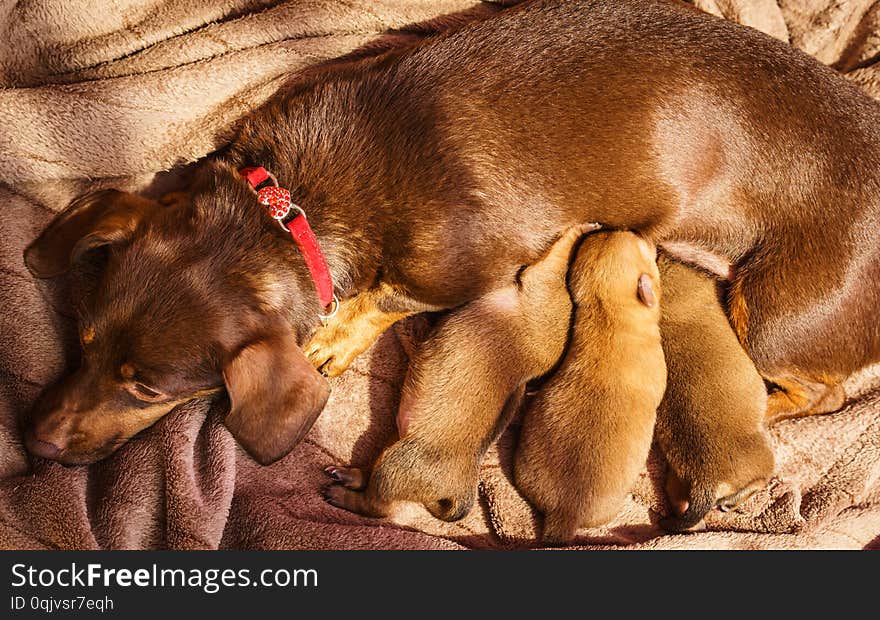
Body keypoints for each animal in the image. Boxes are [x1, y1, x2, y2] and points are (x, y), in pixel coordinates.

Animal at [20, 0, 880, 480]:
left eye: (148, 389)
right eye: (81, 339)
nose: (36, 445)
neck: (290, 210)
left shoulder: (453, 275)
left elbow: (384, 300)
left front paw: (334, 337)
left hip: (773, 315)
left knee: (825, 393)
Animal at [320, 225, 596, 520]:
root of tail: (459, 492)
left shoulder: (541, 280)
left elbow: (559, 252)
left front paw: (582, 228)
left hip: (396, 466)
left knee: (377, 506)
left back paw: (339, 494)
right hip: (391, 450)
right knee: (369, 479)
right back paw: (346, 475)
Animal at [656, 254, 772, 532]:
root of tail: (705, 481)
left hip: (677, 484)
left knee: (681, 507)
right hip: (762, 456)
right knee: (759, 480)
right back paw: (731, 502)